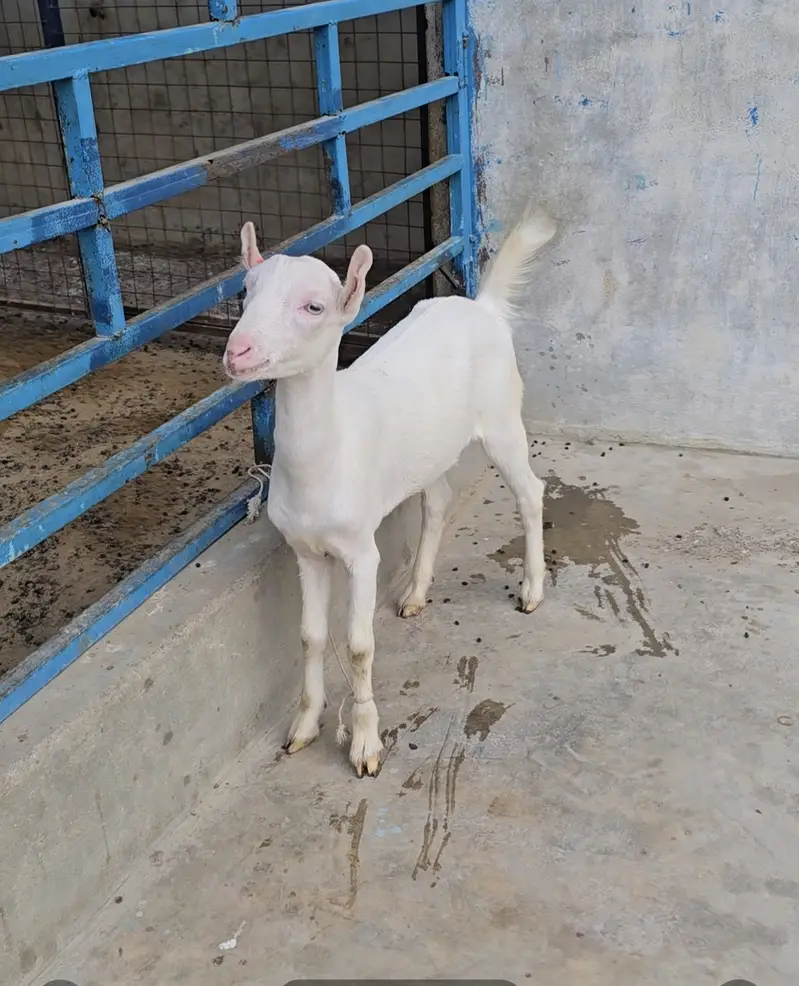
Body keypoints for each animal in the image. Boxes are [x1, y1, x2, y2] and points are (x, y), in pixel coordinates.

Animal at [223, 212, 556, 777]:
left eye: (314, 307)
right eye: (246, 292)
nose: (237, 351)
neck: (323, 462)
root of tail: (483, 305)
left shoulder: (361, 549)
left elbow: (359, 646)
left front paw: (365, 746)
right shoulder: (304, 550)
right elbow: (310, 636)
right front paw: (303, 728)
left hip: (502, 416)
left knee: (530, 491)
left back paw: (532, 589)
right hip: (431, 449)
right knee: (437, 499)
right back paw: (416, 593)